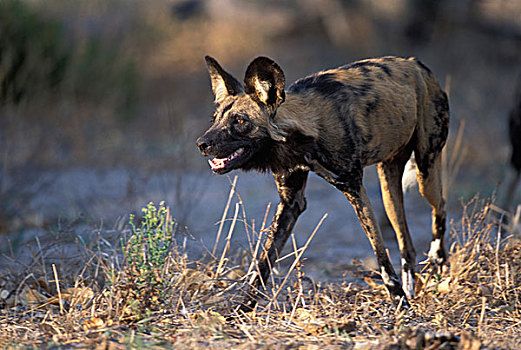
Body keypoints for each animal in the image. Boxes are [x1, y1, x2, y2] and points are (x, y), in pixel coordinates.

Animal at [197, 55, 448, 308]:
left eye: (240, 121)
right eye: (215, 120)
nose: (201, 144)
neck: (304, 135)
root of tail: (416, 63)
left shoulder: (355, 190)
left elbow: (380, 253)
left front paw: (398, 301)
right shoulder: (290, 202)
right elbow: (263, 262)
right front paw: (243, 308)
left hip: (425, 172)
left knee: (440, 206)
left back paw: (437, 262)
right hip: (389, 189)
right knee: (406, 244)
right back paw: (412, 288)